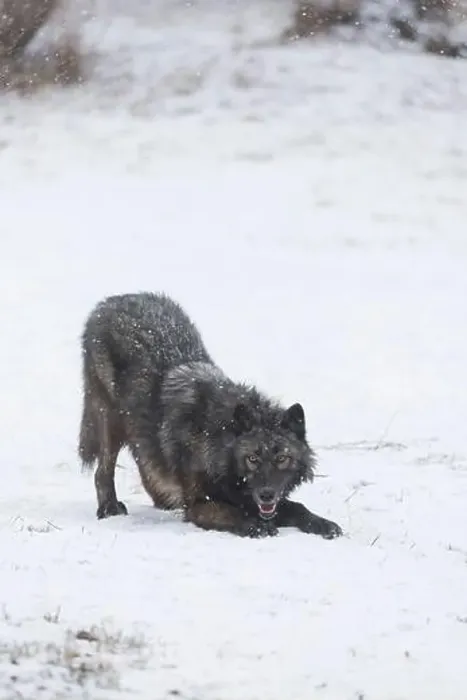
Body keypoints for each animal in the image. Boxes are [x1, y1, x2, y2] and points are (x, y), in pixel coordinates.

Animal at [78, 292, 342, 539]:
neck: (216, 443)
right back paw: (109, 508)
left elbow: (298, 507)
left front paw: (323, 524)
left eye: (282, 458)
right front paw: (257, 526)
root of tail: (111, 301)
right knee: (103, 471)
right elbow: (232, 512)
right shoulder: (199, 505)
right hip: (109, 421)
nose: (266, 494)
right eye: (252, 458)